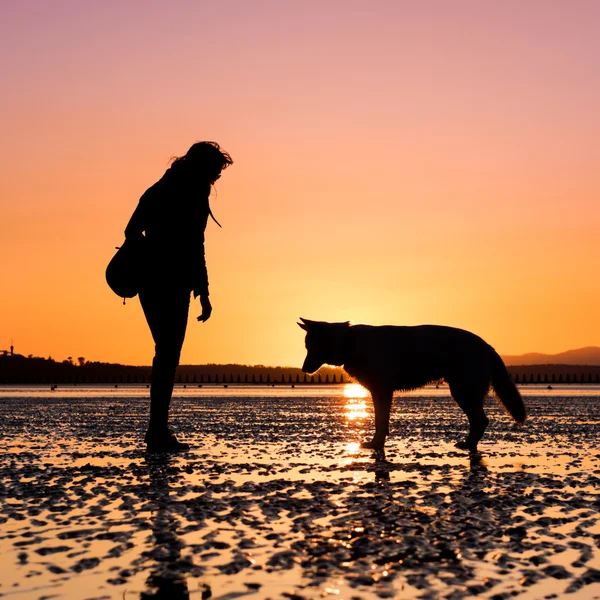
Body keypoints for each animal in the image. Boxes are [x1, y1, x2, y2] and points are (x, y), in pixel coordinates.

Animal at [298, 318, 524, 450]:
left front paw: (377, 444)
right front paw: (377, 442)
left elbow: (381, 421)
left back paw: (468, 445)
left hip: (463, 393)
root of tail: (488, 346)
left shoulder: (383, 392)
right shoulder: (378, 393)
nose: (303, 369)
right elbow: (381, 420)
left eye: (310, 346)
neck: (349, 343)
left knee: (481, 420)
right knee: (480, 421)